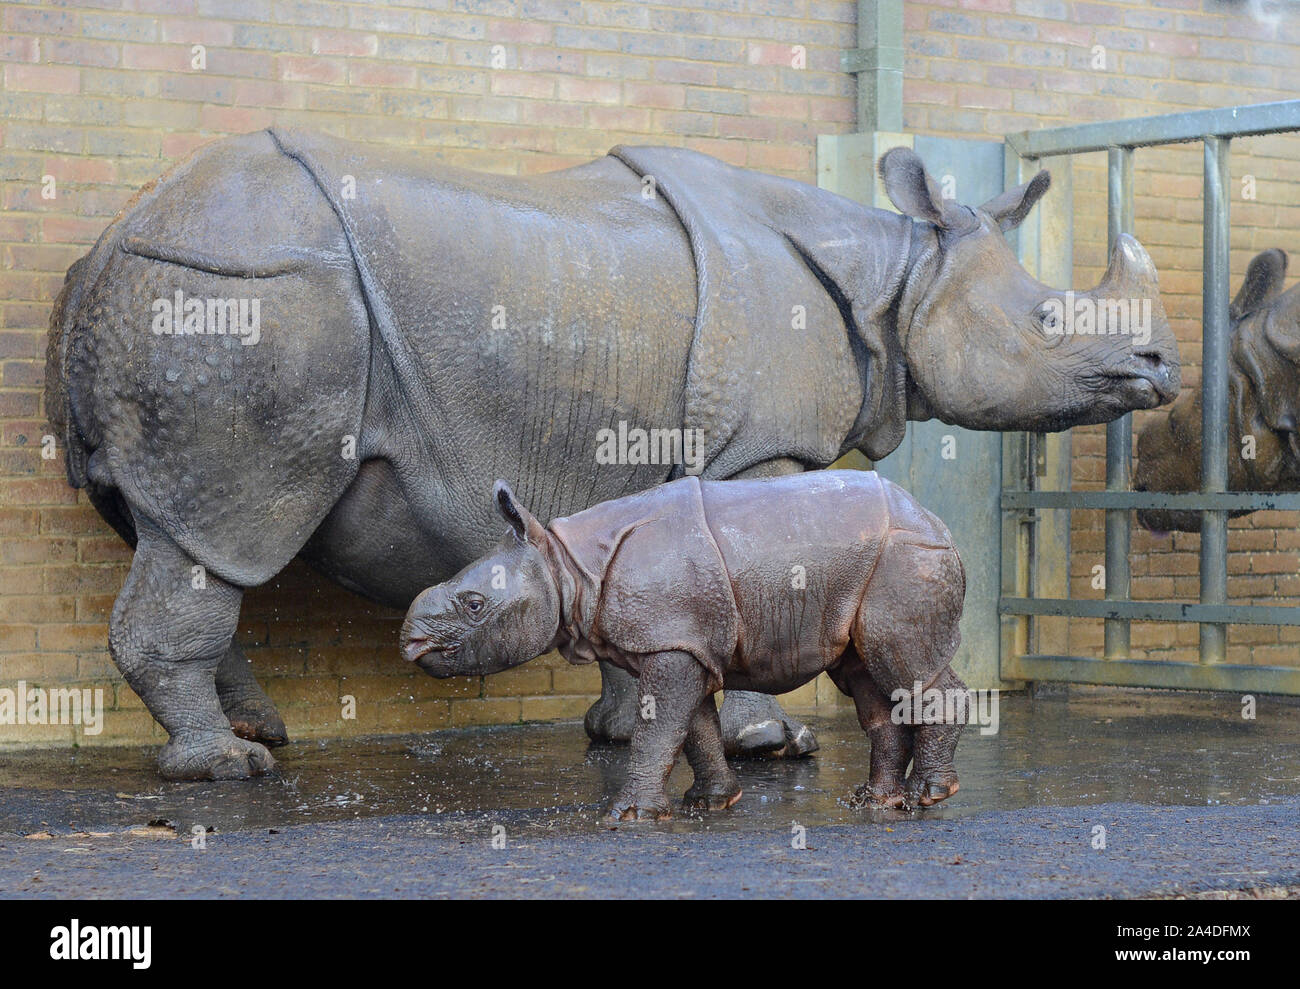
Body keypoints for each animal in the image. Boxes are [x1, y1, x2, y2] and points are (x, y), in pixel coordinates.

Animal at [403, 470, 967, 816]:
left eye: (474, 605)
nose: (410, 642)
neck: (566, 566)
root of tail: (936, 520)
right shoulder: (682, 641)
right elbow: (693, 726)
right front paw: (712, 803)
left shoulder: (671, 643)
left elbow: (659, 728)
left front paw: (627, 815)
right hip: (869, 566)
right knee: (866, 676)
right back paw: (873, 803)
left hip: (906, 558)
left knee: (903, 665)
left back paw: (930, 796)